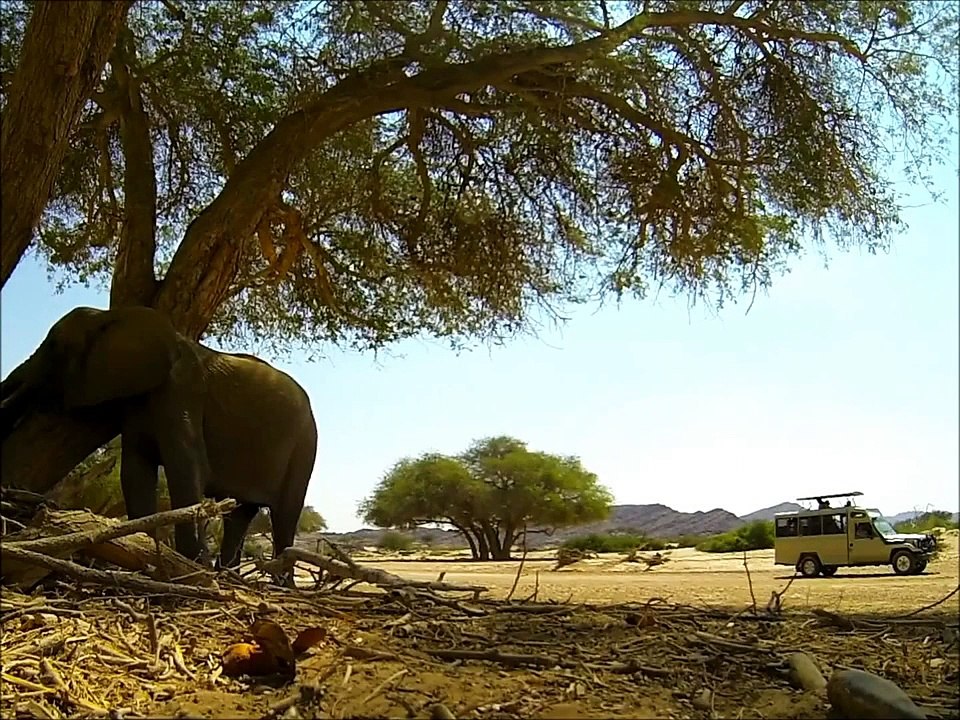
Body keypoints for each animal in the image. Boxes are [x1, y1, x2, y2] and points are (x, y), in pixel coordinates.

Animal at [1, 305, 318, 572]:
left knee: (285, 514)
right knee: (241, 514)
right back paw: (229, 574)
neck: (110, 316)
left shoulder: (181, 391)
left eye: (54, 347)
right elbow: (135, 471)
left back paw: (279, 582)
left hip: (305, 446)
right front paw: (143, 553)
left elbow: (185, 467)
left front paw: (191, 567)